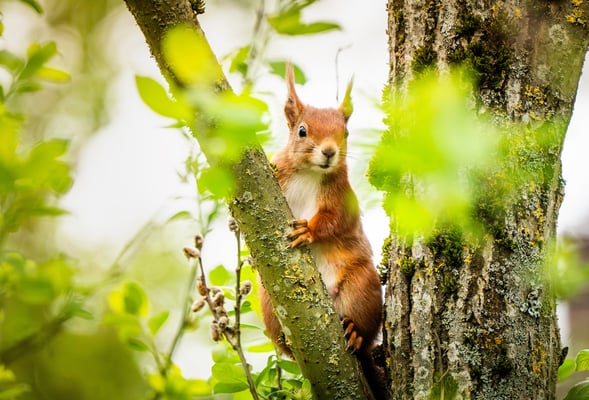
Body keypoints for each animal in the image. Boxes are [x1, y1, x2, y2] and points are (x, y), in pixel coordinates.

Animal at [260, 64, 384, 396]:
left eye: (346, 132)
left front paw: (309, 231)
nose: (329, 152)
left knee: (365, 335)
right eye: (302, 131)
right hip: (268, 302)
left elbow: (335, 221)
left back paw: (354, 334)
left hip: (362, 287)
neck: (309, 173)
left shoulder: (342, 198)